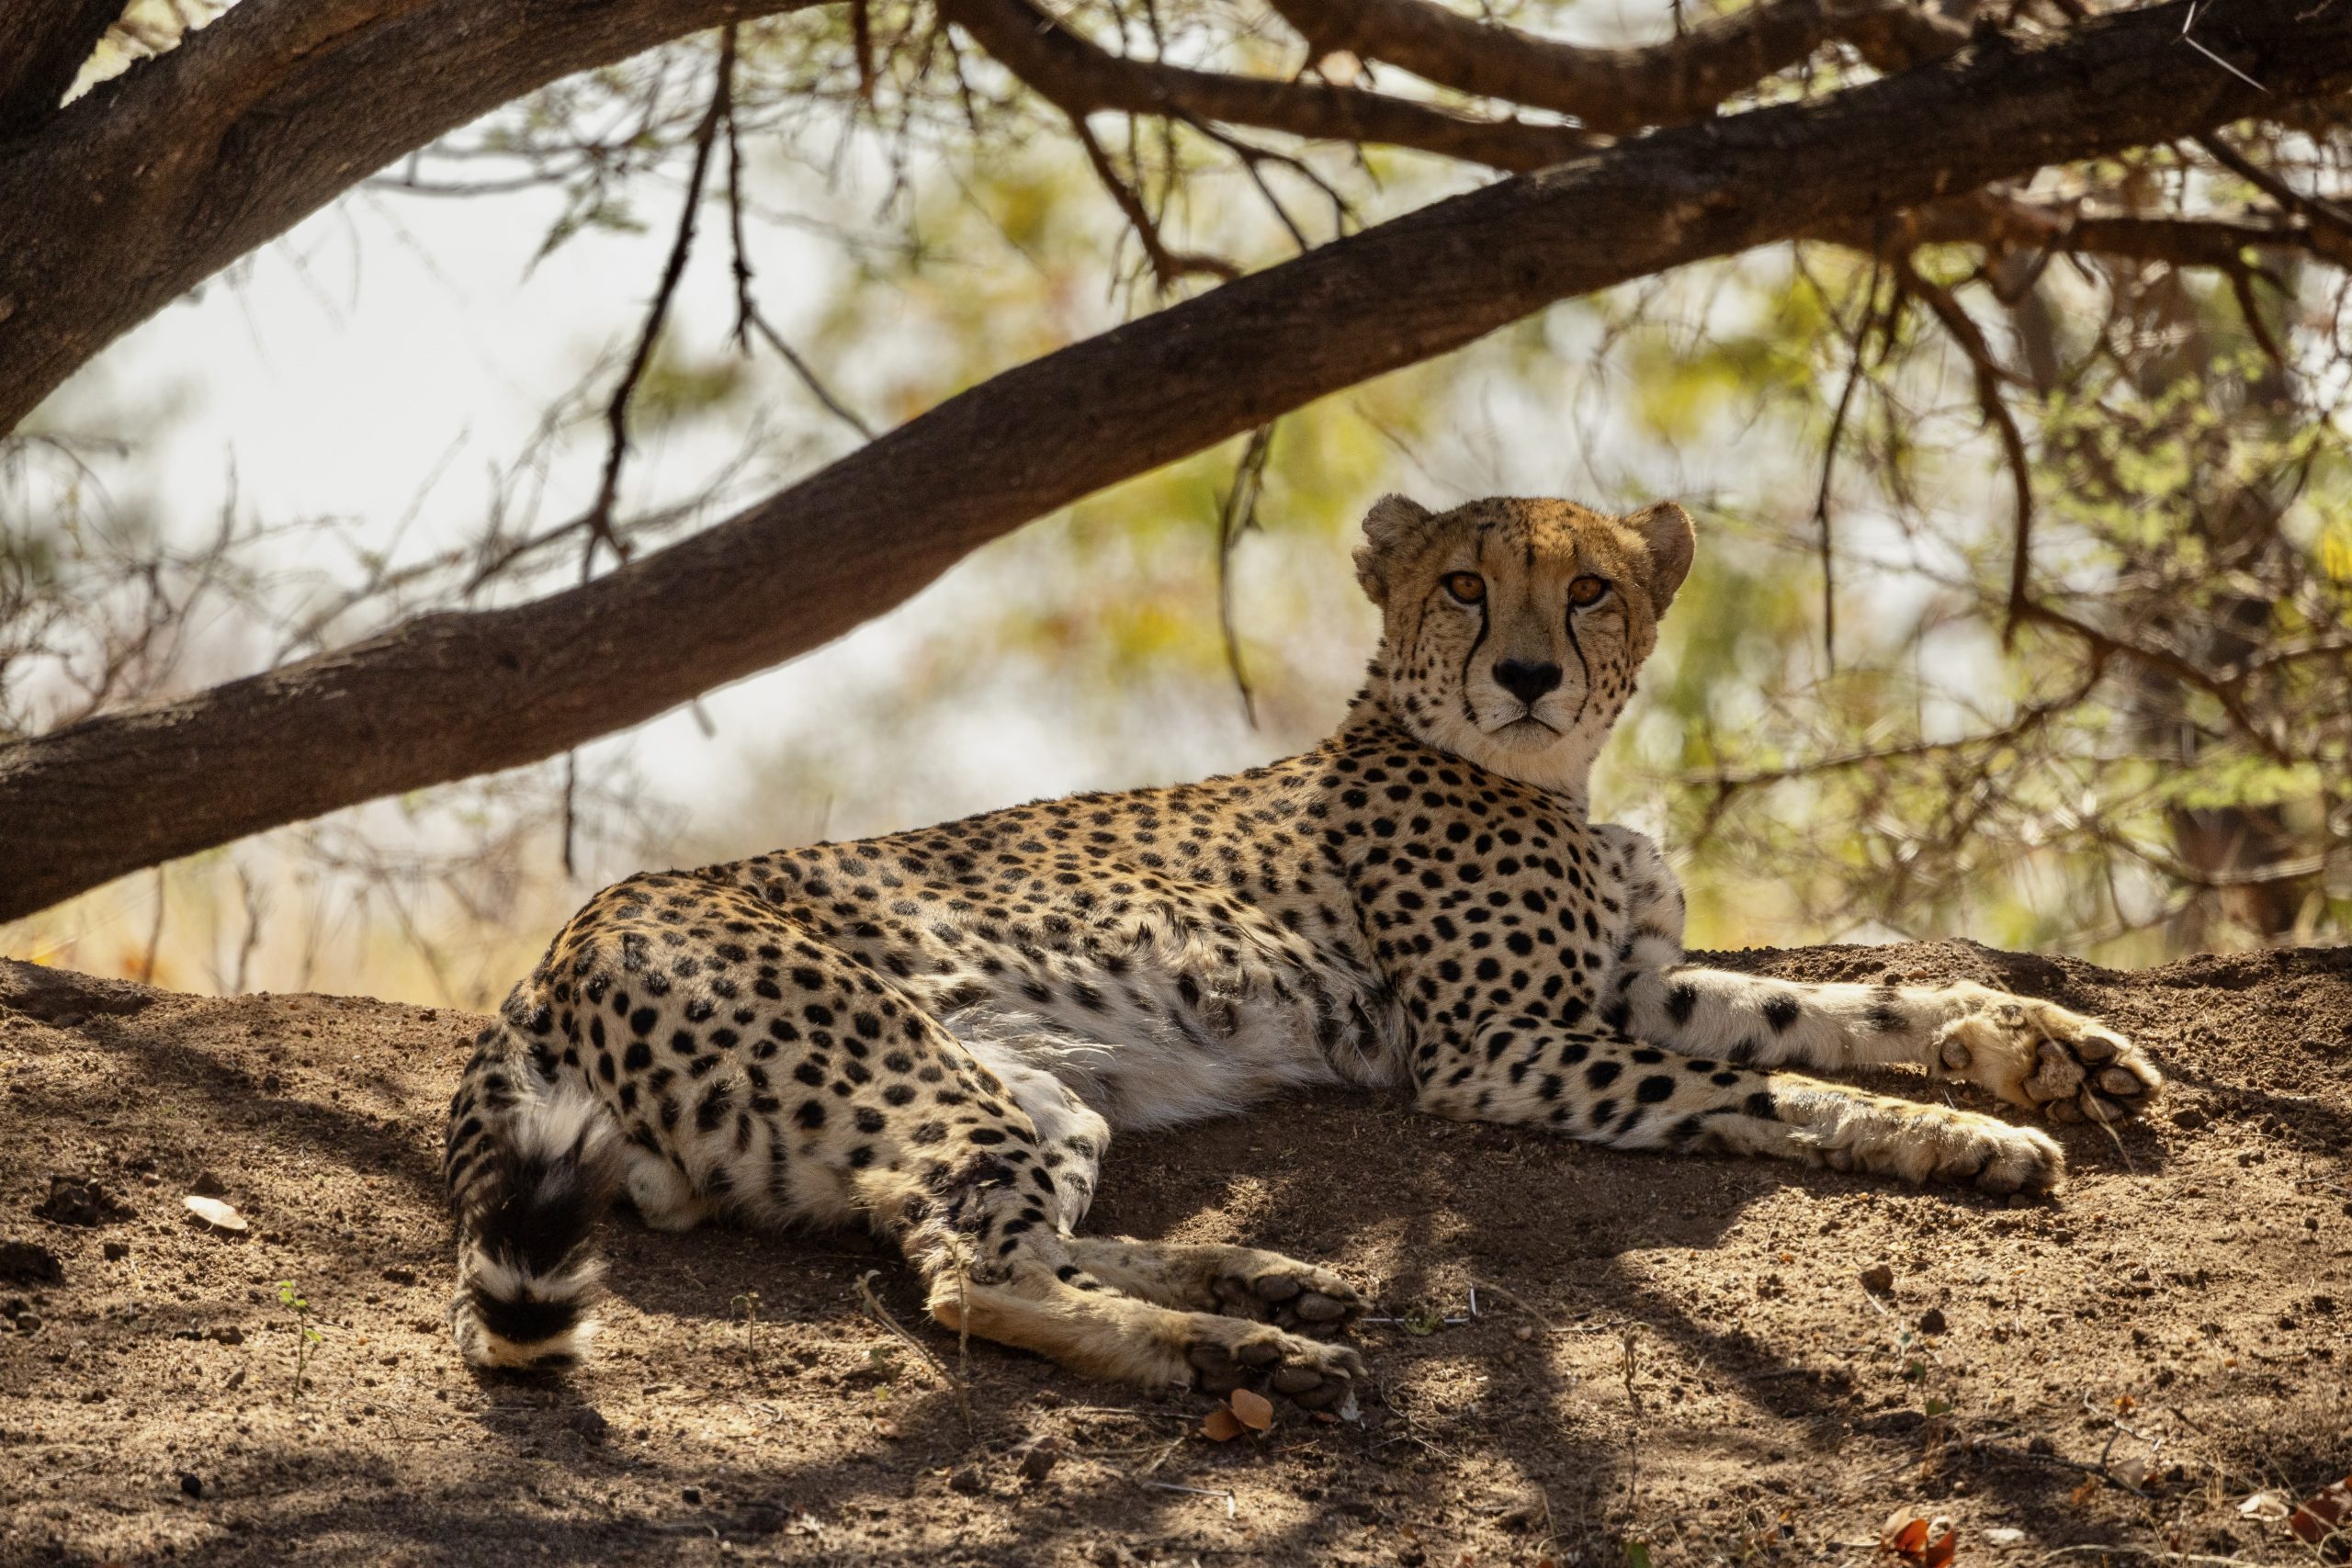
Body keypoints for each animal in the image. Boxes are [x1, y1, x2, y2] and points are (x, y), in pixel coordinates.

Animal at [442, 492, 2162, 1411]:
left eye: (1589, 589)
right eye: (1464, 584)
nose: (1527, 673)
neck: (1546, 775)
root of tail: (551, 955)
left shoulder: (1629, 989)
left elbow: (1845, 1006)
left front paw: (2037, 1054)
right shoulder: (1503, 1048)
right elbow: (1777, 1095)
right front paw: (1964, 1133)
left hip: (1026, 1090)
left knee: (986, 1233)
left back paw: (1261, 1276)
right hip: (931, 1079)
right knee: (967, 1275)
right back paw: (1233, 1349)